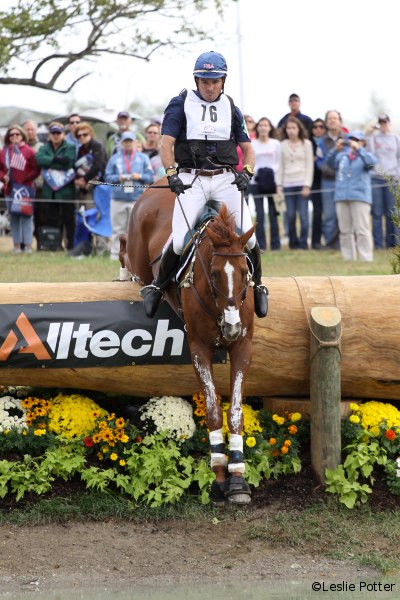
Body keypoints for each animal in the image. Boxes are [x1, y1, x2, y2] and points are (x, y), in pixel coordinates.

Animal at [119, 177, 256, 504]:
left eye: (245, 271)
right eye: (214, 273)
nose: (231, 327)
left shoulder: (243, 346)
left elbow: (235, 412)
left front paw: (238, 478)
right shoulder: (199, 349)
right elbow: (213, 411)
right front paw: (219, 476)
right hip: (139, 258)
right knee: (124, 249)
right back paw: (131, 280)